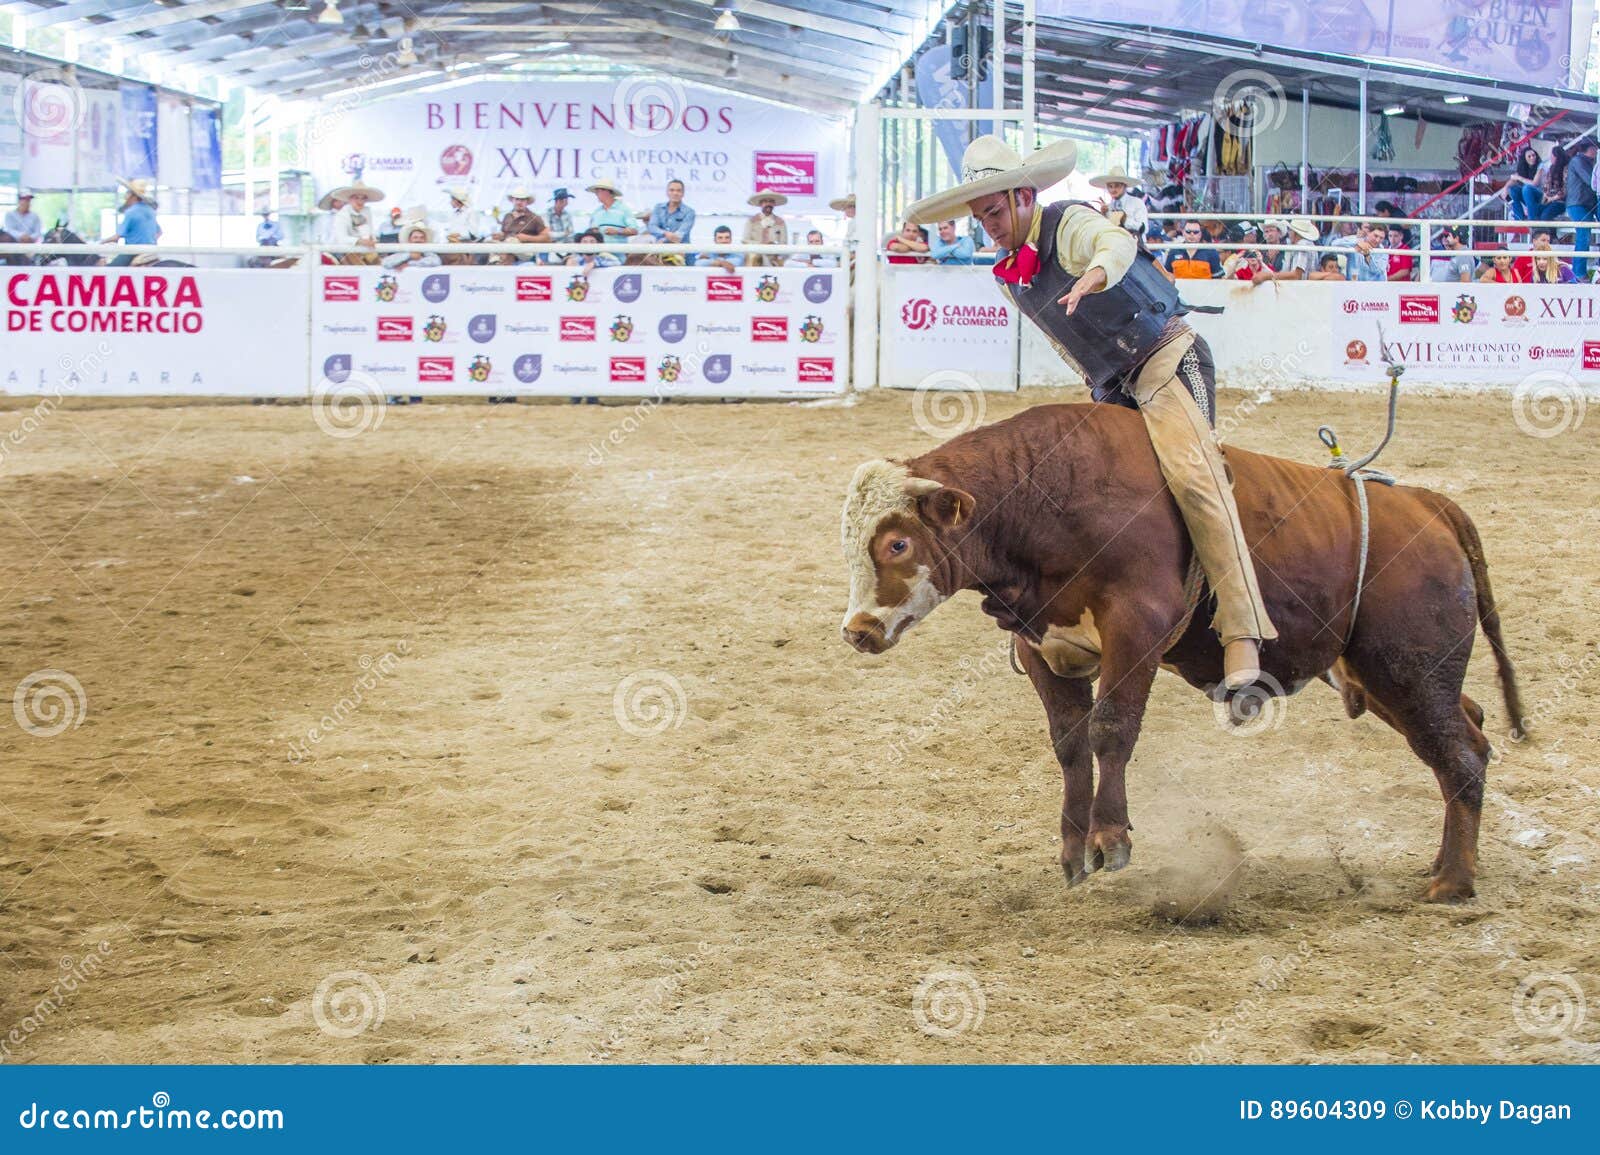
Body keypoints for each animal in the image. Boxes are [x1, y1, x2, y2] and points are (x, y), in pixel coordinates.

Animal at [838, 403, 1523, 902]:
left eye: (898, 542)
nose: (858, 629)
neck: (1047, 496)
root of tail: (1426, 504)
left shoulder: (1137, 629)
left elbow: (1112, 729)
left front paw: (1109, 838)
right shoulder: (1043, 648)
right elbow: (1070, 743)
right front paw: (1072, 851)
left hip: (1410, 669)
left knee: (1459, 756)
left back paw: (1451, 882)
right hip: (1383, 676)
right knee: (1470, 732)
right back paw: (1446, 863)